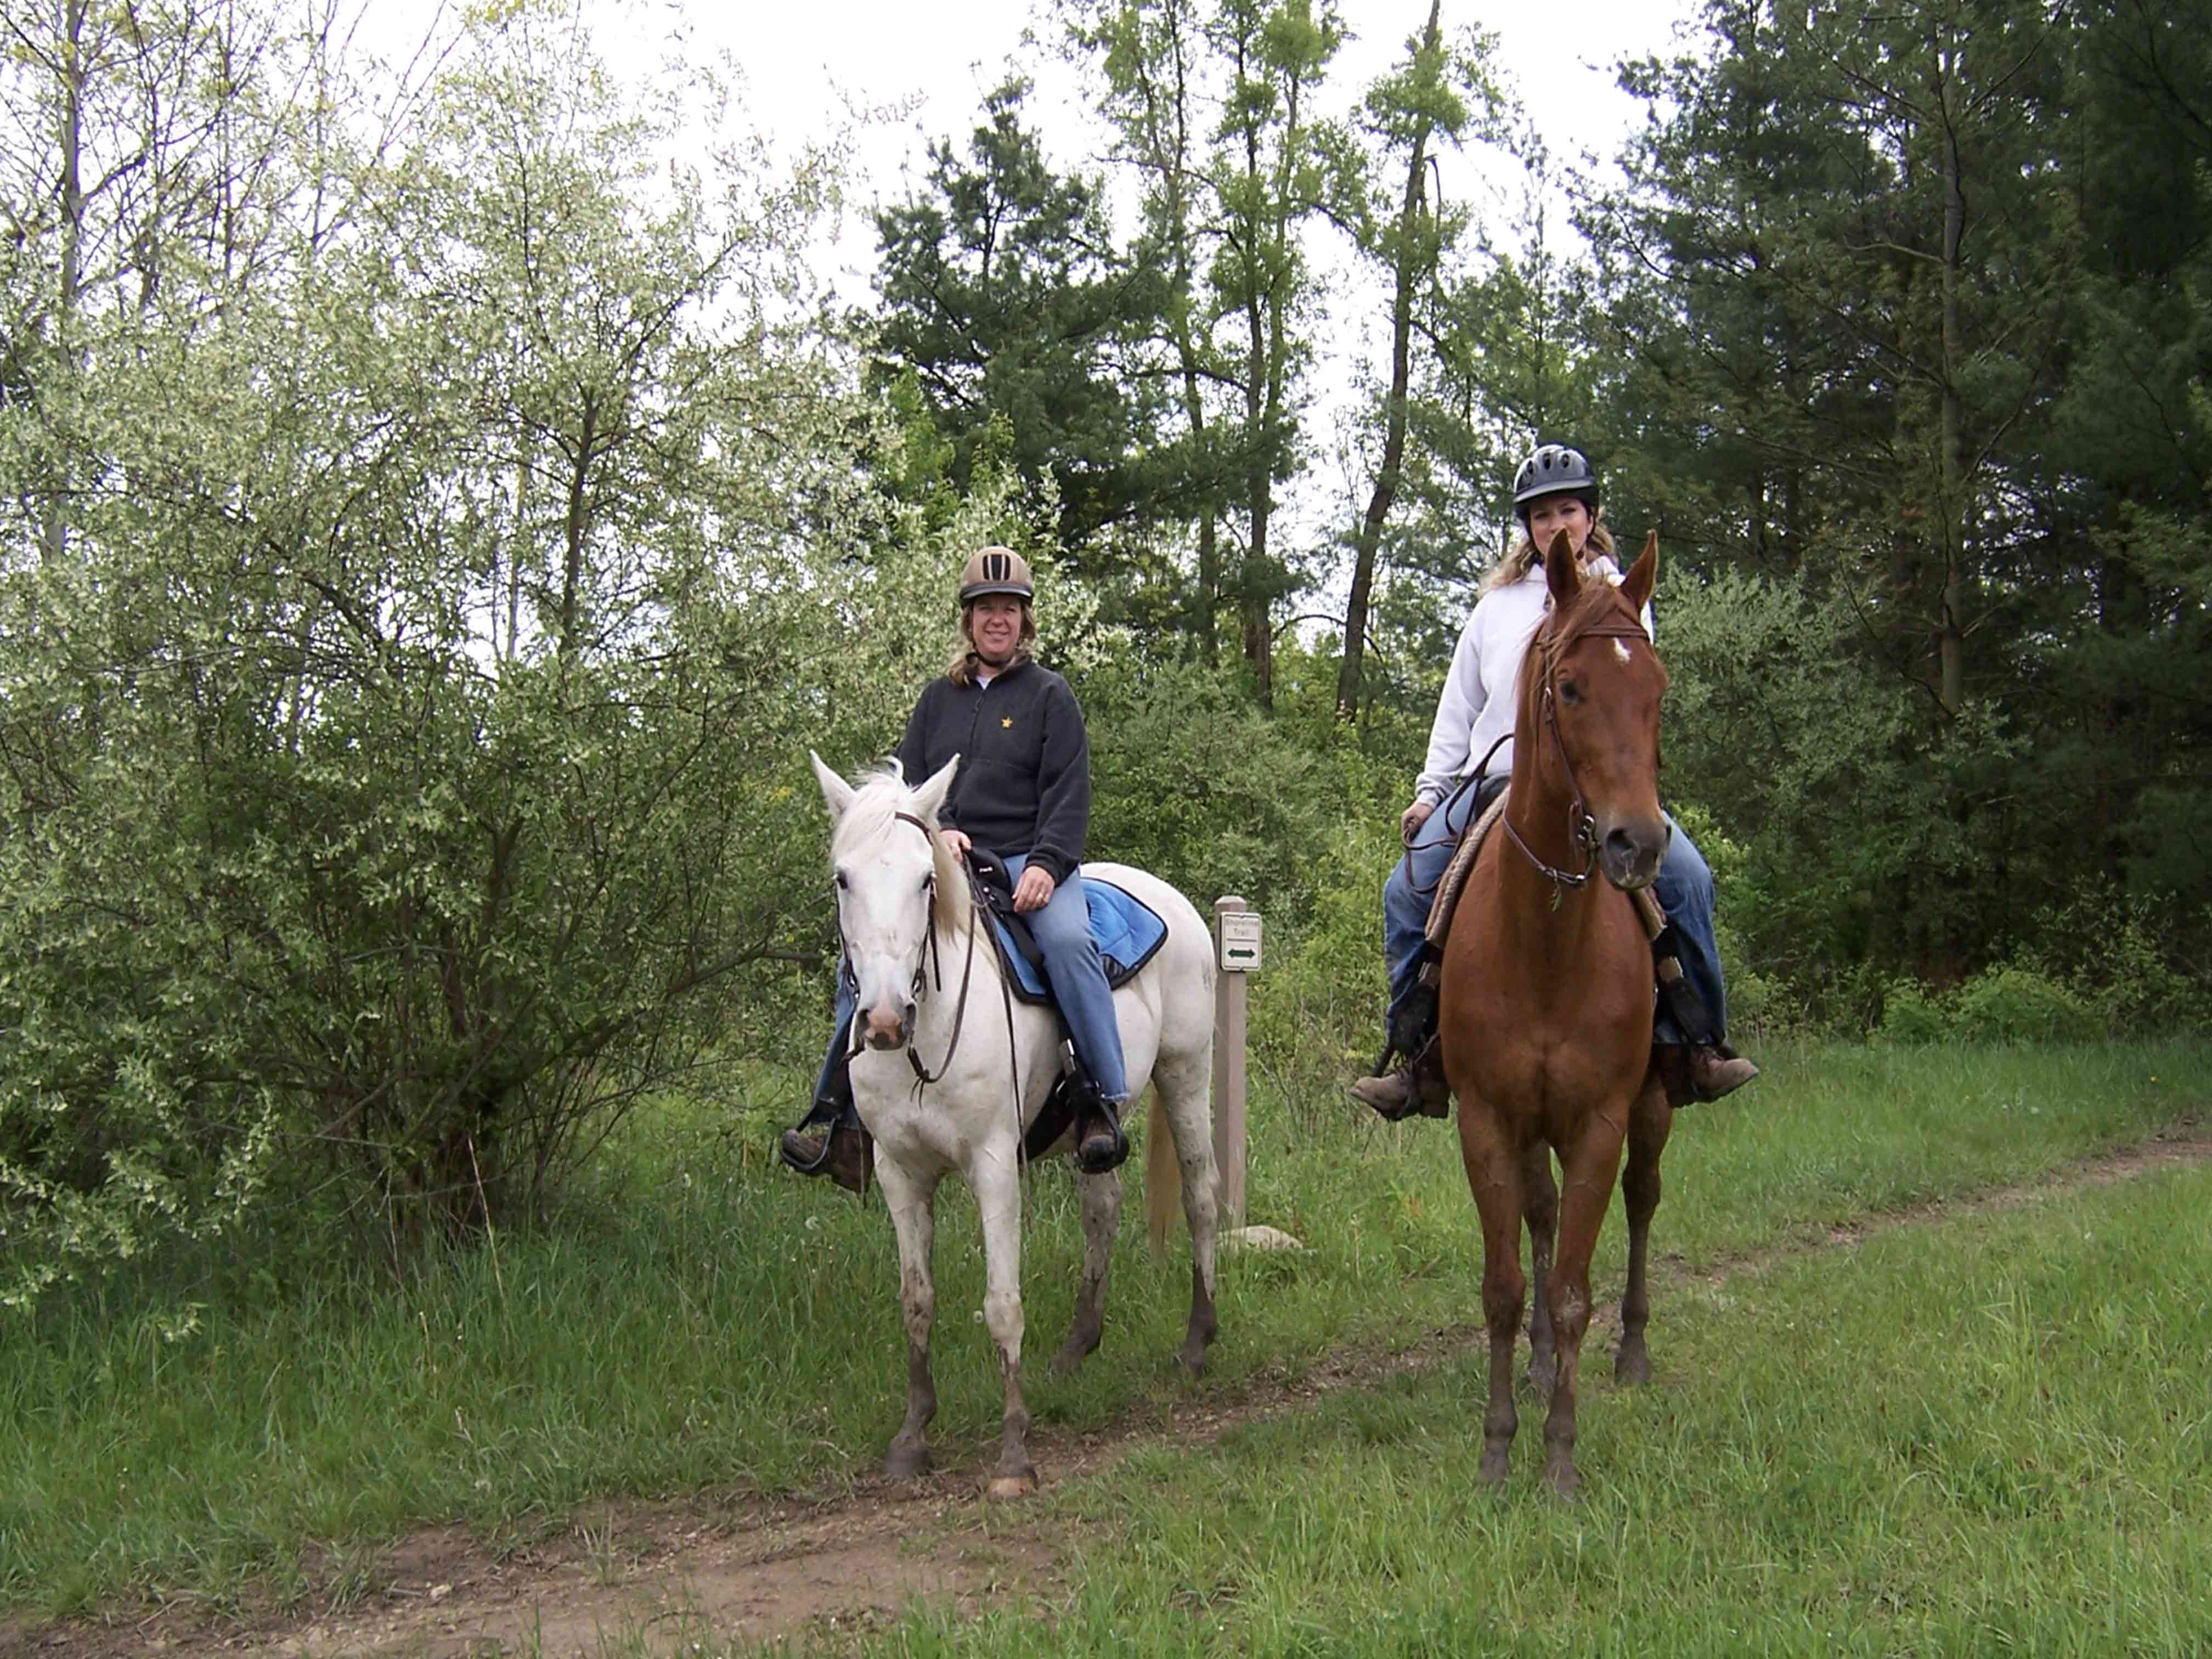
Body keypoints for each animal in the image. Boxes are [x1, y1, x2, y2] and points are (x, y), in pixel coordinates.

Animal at [808, 752, 1222, 1499]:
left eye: (925, 878)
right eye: (843, 878)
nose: (882, 1020)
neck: (929, 1030)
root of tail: (1165, 896)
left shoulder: (994, 1165)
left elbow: (1002, 1303)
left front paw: (1012, 1454)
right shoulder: (899, 1173)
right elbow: (917, 1300)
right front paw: (912, 1437)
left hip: (1187, 1073)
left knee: (1202, 1196)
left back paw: (1197, 1343)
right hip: (1094, 1132)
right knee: (1102, 1209)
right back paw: (1077, 1348)